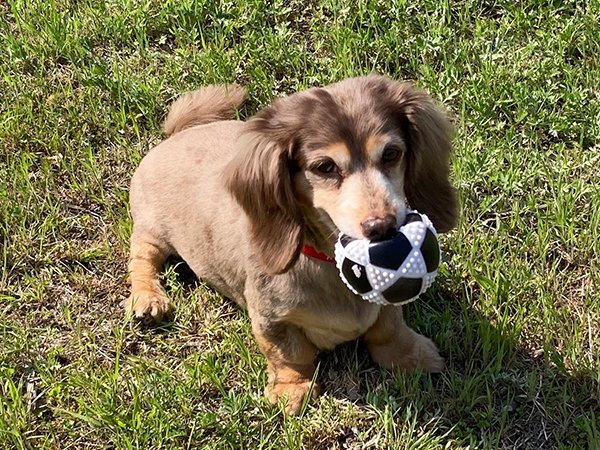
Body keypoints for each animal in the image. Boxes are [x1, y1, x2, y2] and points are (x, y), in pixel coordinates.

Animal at [124, 74, 458, 414]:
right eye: (325, 167)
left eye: (391, 153)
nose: (383, 227)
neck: (326, 261)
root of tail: (175, 135)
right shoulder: (270, 318)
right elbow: (288, 353)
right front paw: (291, 389)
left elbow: (389, 328)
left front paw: (411, 355)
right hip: (152, 230)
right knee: (141, 258)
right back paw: (148, 298)